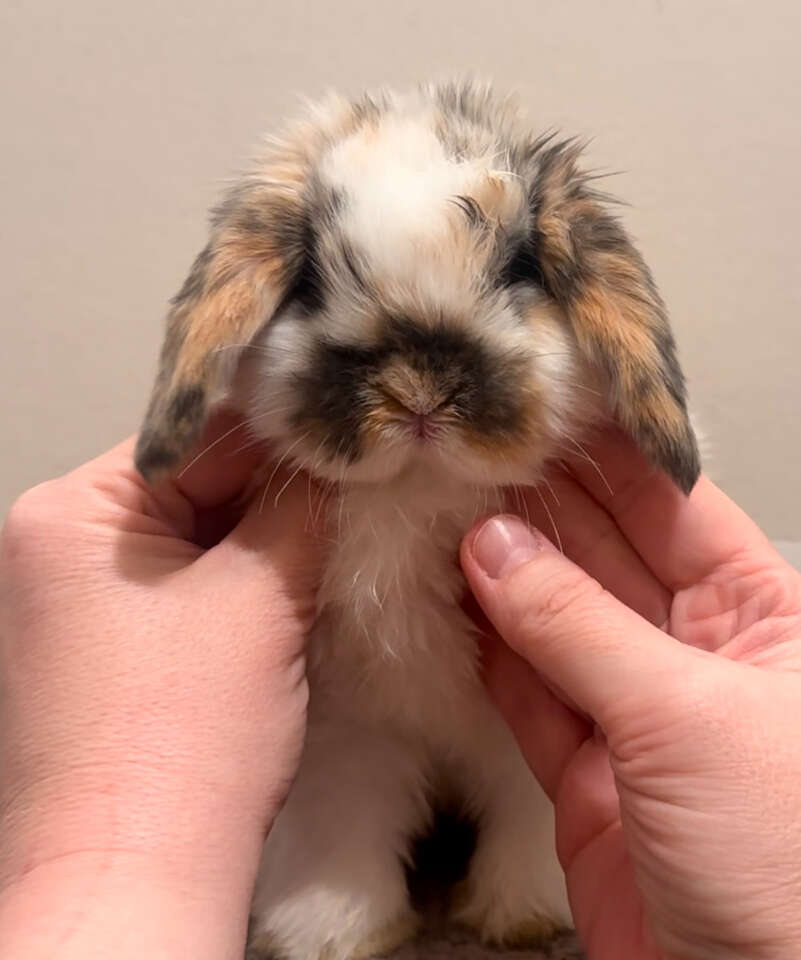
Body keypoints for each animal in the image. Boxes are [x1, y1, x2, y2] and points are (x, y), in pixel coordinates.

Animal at [134, 79, 696, 956]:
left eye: (519, 268)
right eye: (308, 282)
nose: (416, 390)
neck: (415, 492)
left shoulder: (522, 738)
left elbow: (534, 817)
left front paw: (525, 914)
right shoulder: (341, 737)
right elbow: (339, 831)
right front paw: (331, 930)